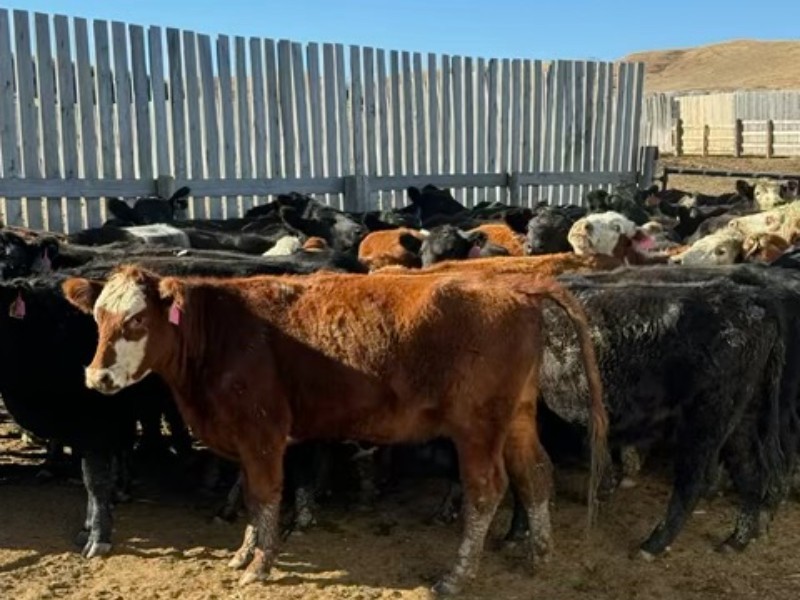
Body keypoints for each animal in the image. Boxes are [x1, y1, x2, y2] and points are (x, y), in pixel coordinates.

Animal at [63, 267, 607, 594]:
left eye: (137, 320)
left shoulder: (262, 434)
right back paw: (540, 554)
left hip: (478, 426)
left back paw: (456, 575)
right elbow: (250, 498)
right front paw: (243, 554)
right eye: (98, 316)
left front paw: (259, 565)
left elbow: (265, 496)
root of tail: (512, 284)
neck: (221, 335)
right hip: (517, 416)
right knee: (535, 475)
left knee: (486, 490)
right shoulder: (242, 438)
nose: (96, 377)